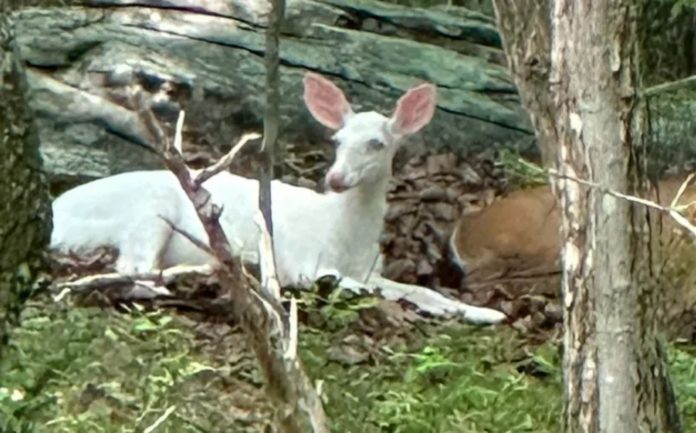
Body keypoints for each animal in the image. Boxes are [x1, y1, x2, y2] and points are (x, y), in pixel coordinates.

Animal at [50, 71, 506, 322]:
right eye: (337, 140)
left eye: (377, 143)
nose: (335, 178)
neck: (343, 236)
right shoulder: (301, 260)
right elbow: (346, 286)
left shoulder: (369, 268)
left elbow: (422, 292)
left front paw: (487, 313)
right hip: (145, 214)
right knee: (134, 268)